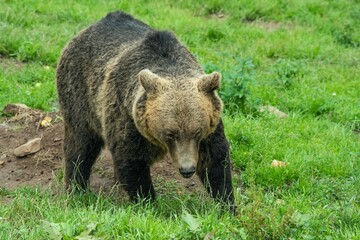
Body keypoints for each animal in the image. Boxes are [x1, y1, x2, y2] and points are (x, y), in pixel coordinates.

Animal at [56, 9, 236, 212]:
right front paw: (149, 204)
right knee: (80, 145)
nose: (187, 169)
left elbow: (215, 160)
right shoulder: (128, 118)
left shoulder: (211, 124)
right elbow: (132, 162)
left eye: (197, 131)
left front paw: (227, 204)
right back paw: (77, 188)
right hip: (80, 96)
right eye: (170, 133)